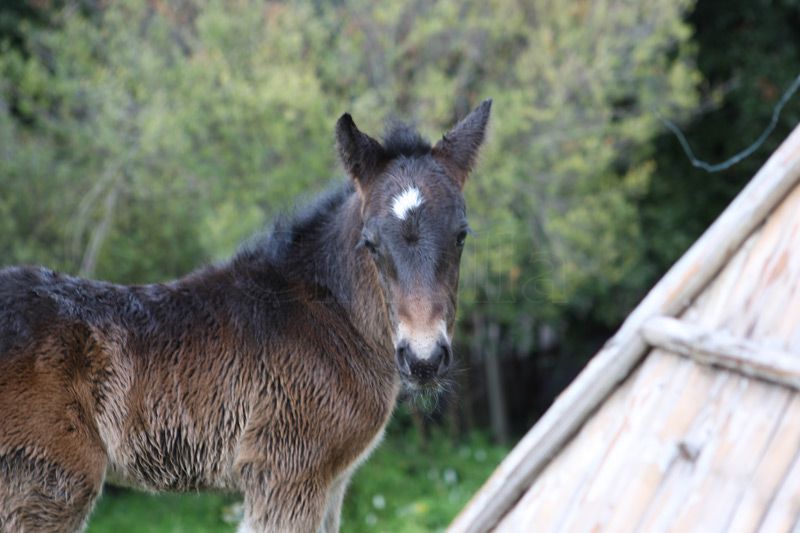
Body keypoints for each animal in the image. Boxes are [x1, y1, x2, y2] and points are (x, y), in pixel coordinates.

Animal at [0, 99, 491, 532]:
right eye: (370, 242)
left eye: (462, 235)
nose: (424, 359)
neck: (329, 316)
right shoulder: (287, 472)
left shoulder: (332, 482)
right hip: (46, 485)